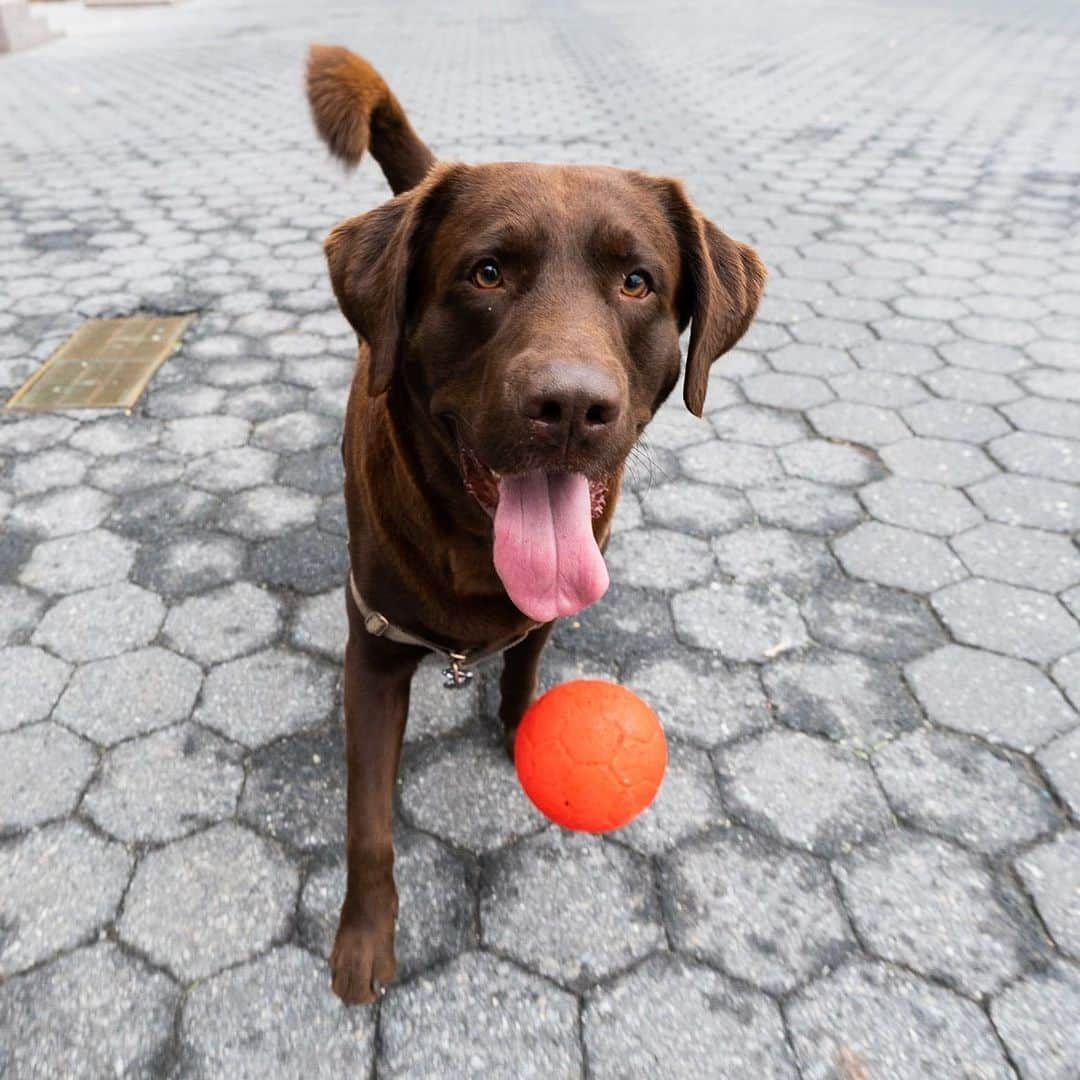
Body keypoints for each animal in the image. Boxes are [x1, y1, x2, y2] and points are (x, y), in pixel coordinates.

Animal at [302, 42, 768, 1002]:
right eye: (487, 273)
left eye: (637, 282)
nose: (571, 407)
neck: (475, 552)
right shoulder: (373, 651)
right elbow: (368, 822)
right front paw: (363, 939)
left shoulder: (545, 613)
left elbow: (523, 669)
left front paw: (521, 736)